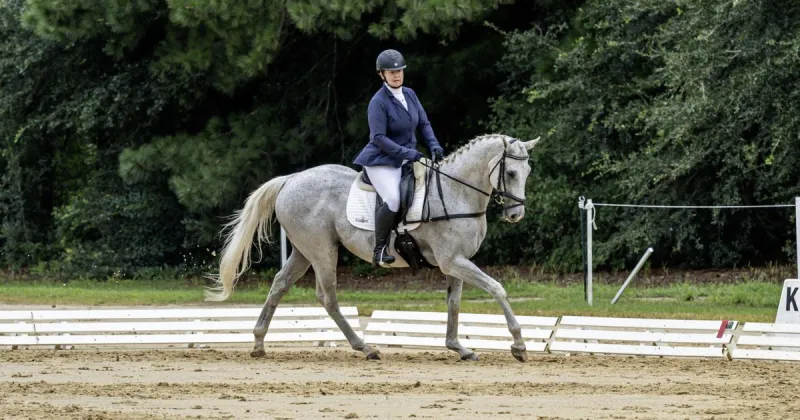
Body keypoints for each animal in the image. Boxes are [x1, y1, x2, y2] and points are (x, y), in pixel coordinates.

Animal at [205, 133, 541, 362]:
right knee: (327, 297)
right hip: (322, 250)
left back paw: (259, 343)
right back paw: (365, 347)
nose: (516, 215)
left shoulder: (456, 262)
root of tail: (291, 179)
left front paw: (458, 347)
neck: (456, 192)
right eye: (511, 173)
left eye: (527, 173)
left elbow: (454, 303)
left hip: (303, 251)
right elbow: (497, 288)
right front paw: (519, 345)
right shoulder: (452, 261)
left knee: (279, 285)